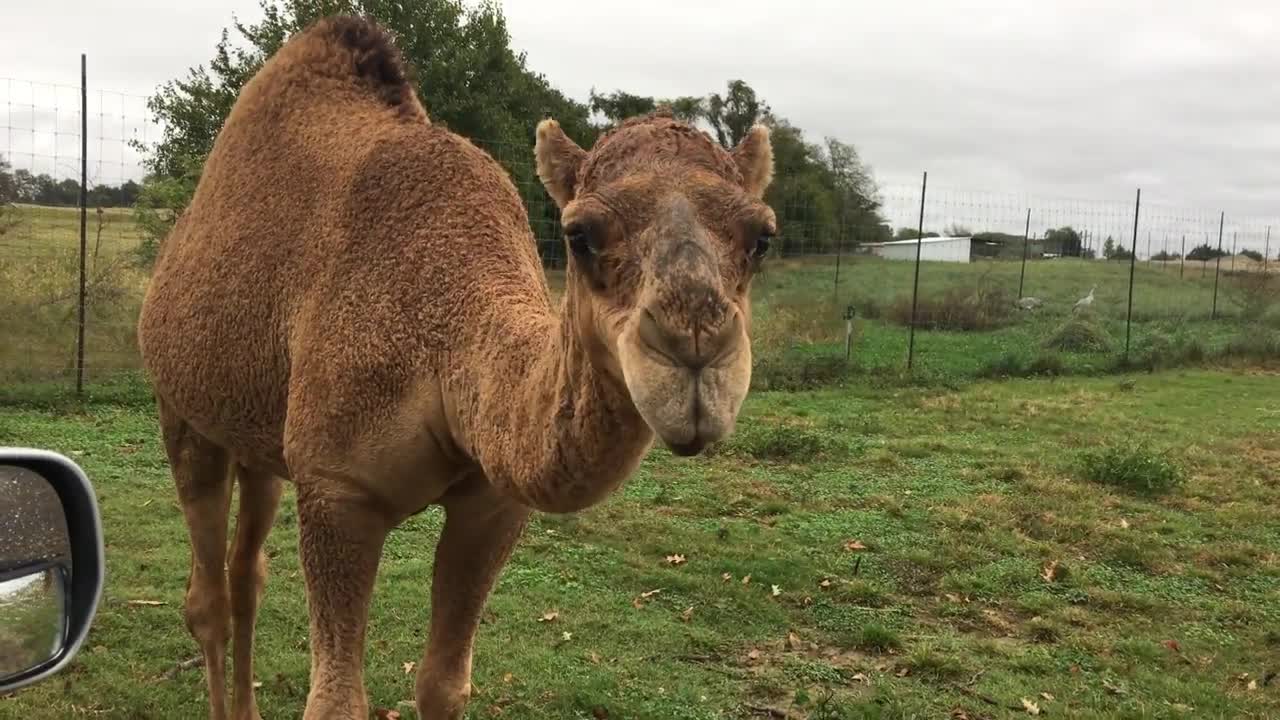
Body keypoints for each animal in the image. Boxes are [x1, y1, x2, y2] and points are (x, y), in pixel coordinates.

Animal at [138, 15, 773, 717]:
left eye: (761, 238)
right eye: (579, 234)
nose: (695, 347)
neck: (444, 340)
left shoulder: (490, 504)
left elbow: (443, 683)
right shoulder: (336, 489)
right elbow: (335, 700)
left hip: (261, 438)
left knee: (246, 571)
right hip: (181, 409)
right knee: (207, 597)